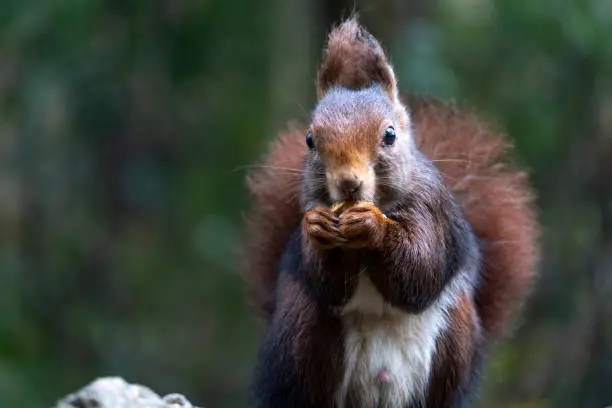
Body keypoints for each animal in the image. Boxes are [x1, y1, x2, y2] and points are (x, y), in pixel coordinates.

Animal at [241, 19, 536, 408]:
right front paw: (318, 229)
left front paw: (373, 228)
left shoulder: (431, 208)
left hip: (453, 345)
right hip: (303, 338)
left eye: (390, 135)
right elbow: (326, 281)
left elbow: (420, 270)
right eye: (309, 140)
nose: (348, 184)